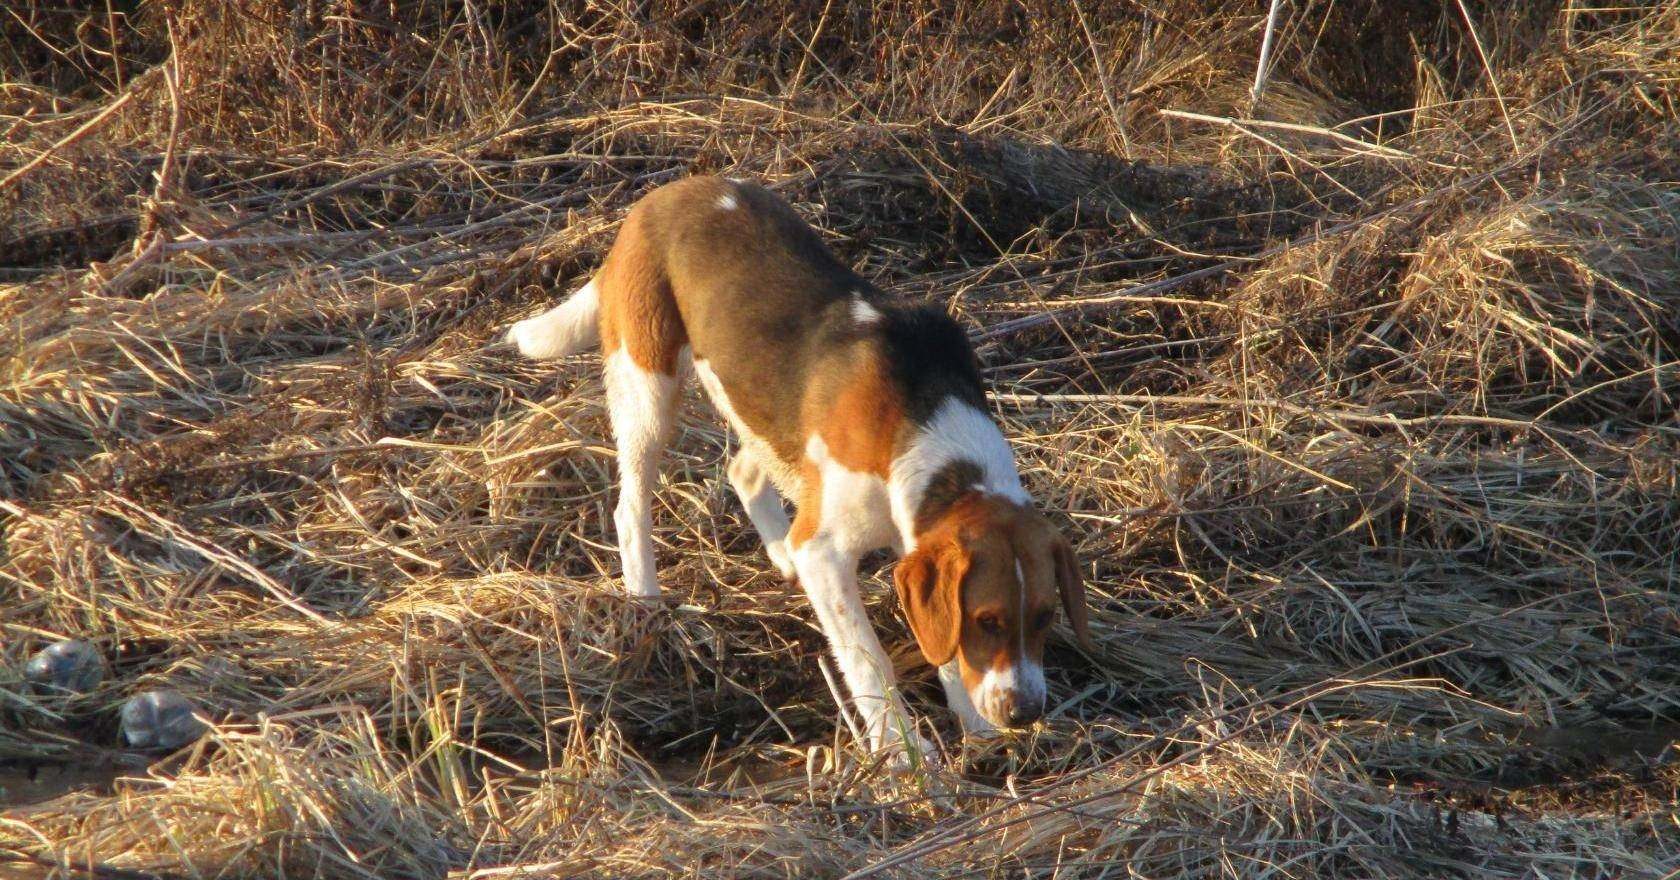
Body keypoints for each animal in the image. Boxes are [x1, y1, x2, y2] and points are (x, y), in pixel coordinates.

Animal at [507, 173, 1088, 755]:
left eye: (1044, 616)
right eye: (986, 620)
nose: (1024, 712)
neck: (926, 417)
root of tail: (663, 195)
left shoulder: (911, 540)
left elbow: (937, 647)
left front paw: (972, 726)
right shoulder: (825, 553)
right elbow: (869, 660)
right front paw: (900, 751)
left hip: (761, 415)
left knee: (743, 470)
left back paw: (775, 551)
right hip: (648, 390)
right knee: (630, 509)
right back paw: (647, 602)